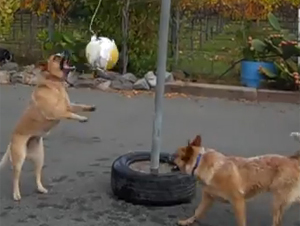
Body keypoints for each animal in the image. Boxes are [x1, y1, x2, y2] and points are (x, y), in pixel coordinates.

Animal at [0, 53, 95, 200]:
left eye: (60, 55)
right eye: (56, 57)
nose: (65, 52)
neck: (54, 83)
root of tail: (12, 141)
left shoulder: (68, 105)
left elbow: (78, 106)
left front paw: (89, 109)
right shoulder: (57, 112)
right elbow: (70, 114)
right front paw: (81, 118)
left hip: (39, 158)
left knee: (37, 175)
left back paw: (40, 188)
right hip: (19, 159)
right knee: (15, 178)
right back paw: (16, 194)